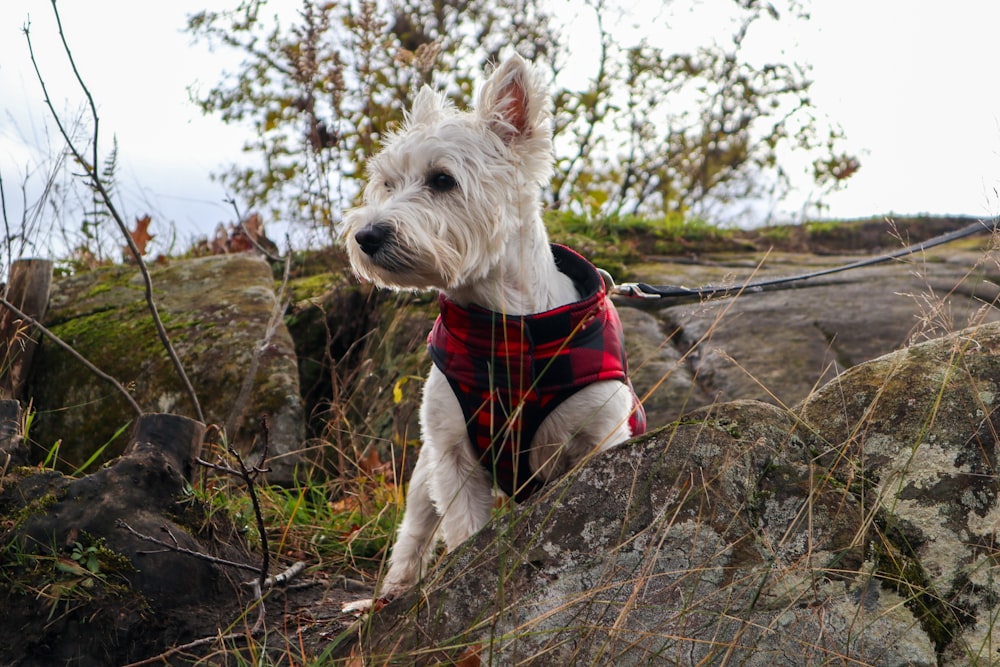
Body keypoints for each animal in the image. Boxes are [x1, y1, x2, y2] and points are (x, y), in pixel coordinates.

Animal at [340, 56, 644, 612]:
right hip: (425, 466)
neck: (508, 331)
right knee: (415, 530)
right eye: (387, 183)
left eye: (442, 180)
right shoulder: (454, 454)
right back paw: (392, 593)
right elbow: (463, 532)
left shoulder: (600, 437)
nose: (365, 235)